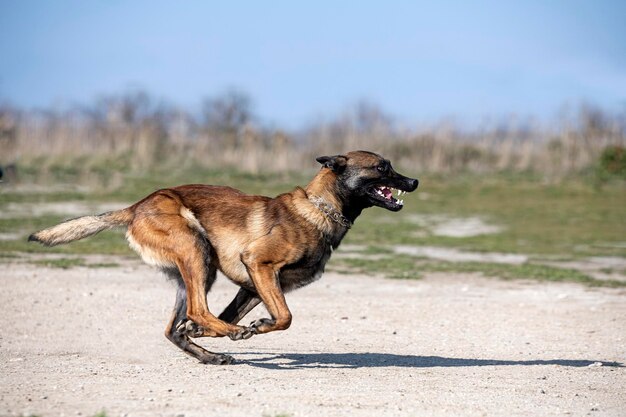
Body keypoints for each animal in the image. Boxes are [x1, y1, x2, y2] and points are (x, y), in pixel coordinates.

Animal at [30, 150, 420, 364]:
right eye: (382, 167)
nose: (414, 181)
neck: (318, 210)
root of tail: (136, 206)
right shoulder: (260, 266)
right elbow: (284, 317)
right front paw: (253, 327)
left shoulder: (253, 287)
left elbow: (242, 315)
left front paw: (220, 332)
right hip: (196, 251)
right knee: (197, 309)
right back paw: (229, 335)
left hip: (193, 271)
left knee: (175, 327)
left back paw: (211, 354)